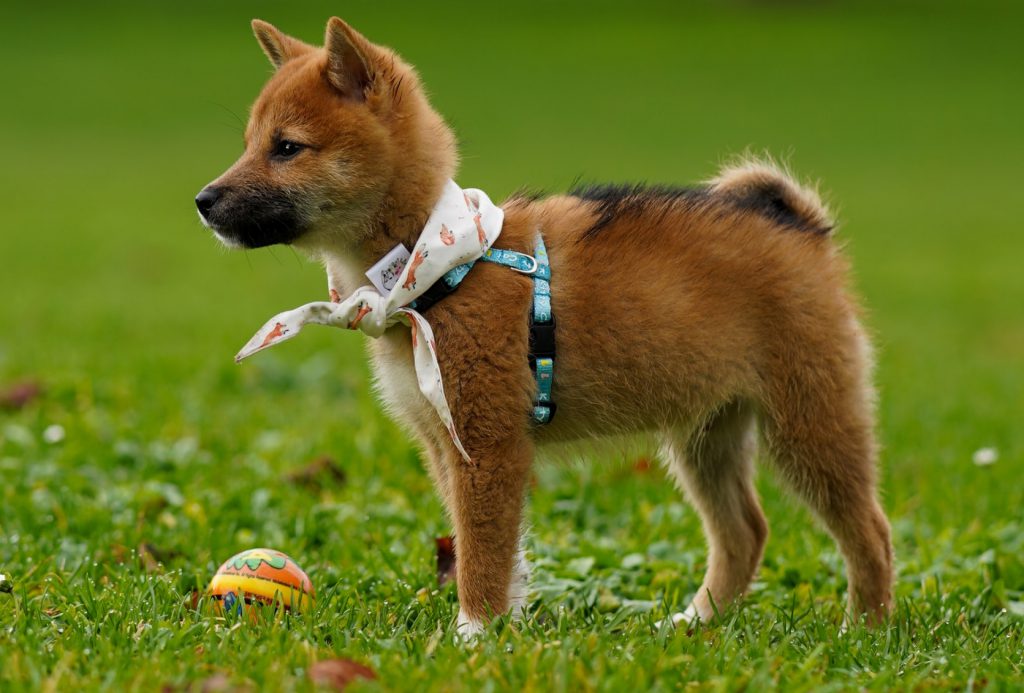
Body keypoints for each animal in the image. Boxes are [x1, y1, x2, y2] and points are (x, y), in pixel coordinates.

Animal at [195, 16, 892, 634]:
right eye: (249, 142)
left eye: (287, 147)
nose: (202, 201)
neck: (438, 264)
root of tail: (800, 226)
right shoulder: (445, 445)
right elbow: (488, 550)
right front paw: (499, 622)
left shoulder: (488, 443)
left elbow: (482, 551)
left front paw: (473, 634)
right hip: (707, 434)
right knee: (745, 533)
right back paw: (695, 623)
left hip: (809, 423)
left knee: (871, 531)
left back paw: (866, 629)